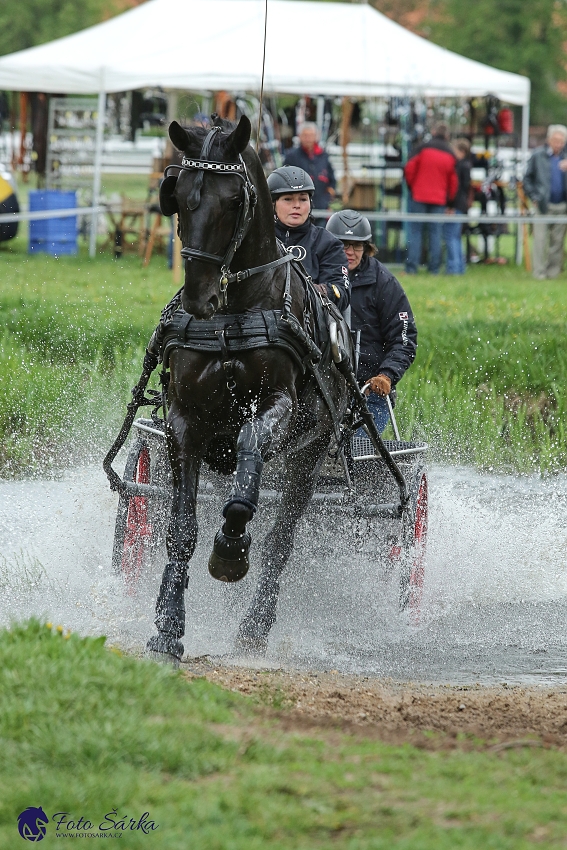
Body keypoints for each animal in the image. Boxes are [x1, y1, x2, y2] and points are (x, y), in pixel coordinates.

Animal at [144, 114, 352, 656]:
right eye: (178, 194)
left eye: (234, 200)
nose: (199, 297)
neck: (234, 312)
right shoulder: (185, 422)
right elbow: (181, 529)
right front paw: (167, 628)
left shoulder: (279, 407)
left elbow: (247, 459)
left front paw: (231, 550)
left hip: (310, 453)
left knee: (281, 539)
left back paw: (255, 625)